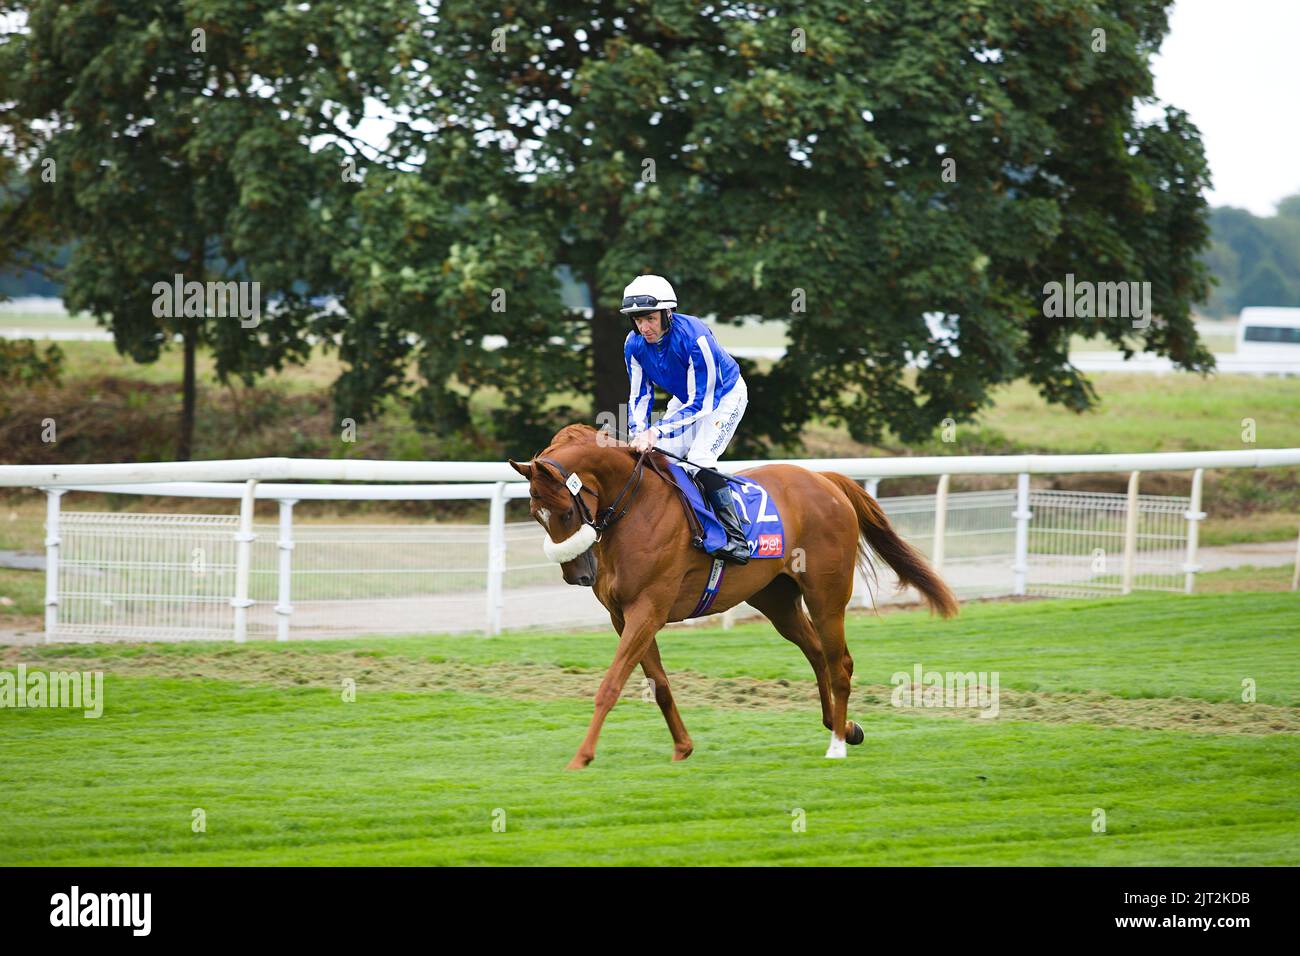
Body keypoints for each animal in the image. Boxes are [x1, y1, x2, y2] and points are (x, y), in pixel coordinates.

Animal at [506, 426, 956, 770]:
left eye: (566, 512)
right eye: (534, 515)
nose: (577, 574)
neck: (637, 509)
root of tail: (827, 480)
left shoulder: (648, 609)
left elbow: (612, 683)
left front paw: (581, 757)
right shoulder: (625, 616)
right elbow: (659, 684)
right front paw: (682, 748)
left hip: (826, 594)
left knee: (839, 662)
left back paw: (837, 746)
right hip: (776, 600)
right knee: (816, 653)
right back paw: (842, 726)